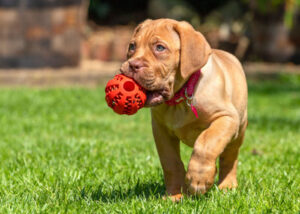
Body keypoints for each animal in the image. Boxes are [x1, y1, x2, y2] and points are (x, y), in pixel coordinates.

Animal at [120, 18, 248, 201]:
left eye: (160, 48)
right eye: (132, 46)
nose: (132, 65)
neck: (179, 98)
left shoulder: (226, 118)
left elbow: (206, 143)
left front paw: (198, 179)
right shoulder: (160, 130)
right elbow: (170, 162)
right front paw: (174, 195)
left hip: (239, 130)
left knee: (229, 158)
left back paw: (227, 186)